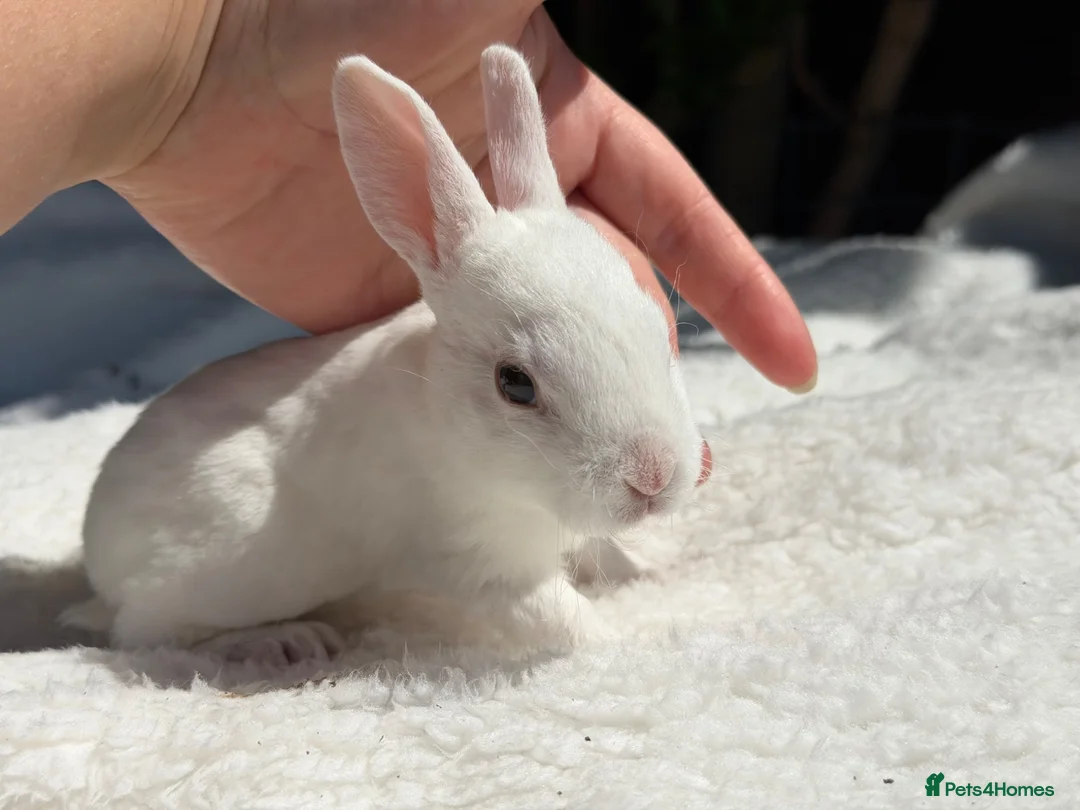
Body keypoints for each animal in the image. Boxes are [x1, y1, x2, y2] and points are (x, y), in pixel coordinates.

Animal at [60, 44, 710, 667]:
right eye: (515, 384)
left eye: (659, 332)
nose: (652, 477)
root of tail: (99, 550)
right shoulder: (479, 559)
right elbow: (558, 616)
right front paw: (631, 641)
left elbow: (603, 551)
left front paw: (649, 565)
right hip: (231, 568)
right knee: (146, 633)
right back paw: (280, 642)